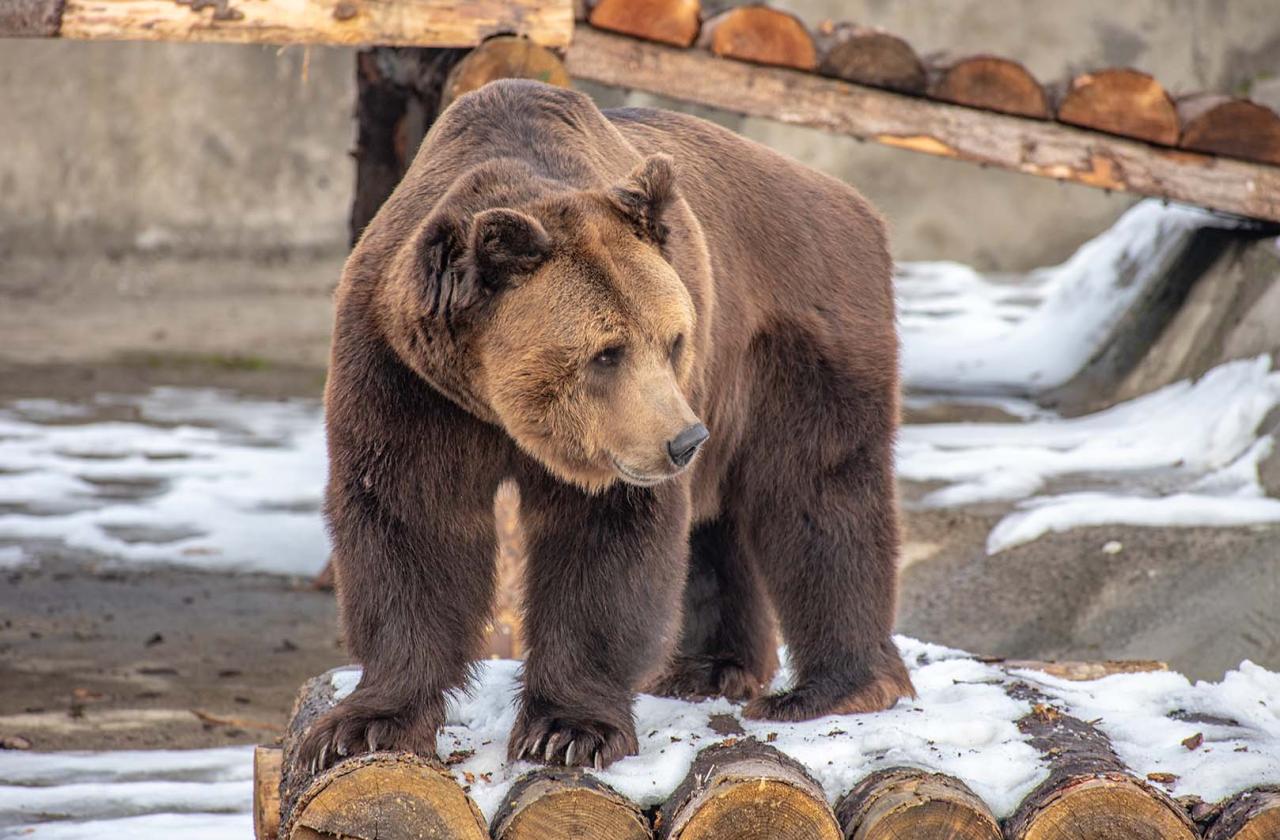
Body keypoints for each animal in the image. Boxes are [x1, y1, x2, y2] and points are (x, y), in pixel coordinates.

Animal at [299, 80, 916, 773]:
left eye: (673, 339)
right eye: (606, 352)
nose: (683, 441)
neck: (493, 404)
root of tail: (854, 202)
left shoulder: (618, 439)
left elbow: (606, 545)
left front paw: (569, 729)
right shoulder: (404, 377)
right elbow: (410, 522)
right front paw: (364, 725)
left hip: (791, 336)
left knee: (818, 492)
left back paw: (831, 688)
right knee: (721, 520)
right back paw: (708, 668)